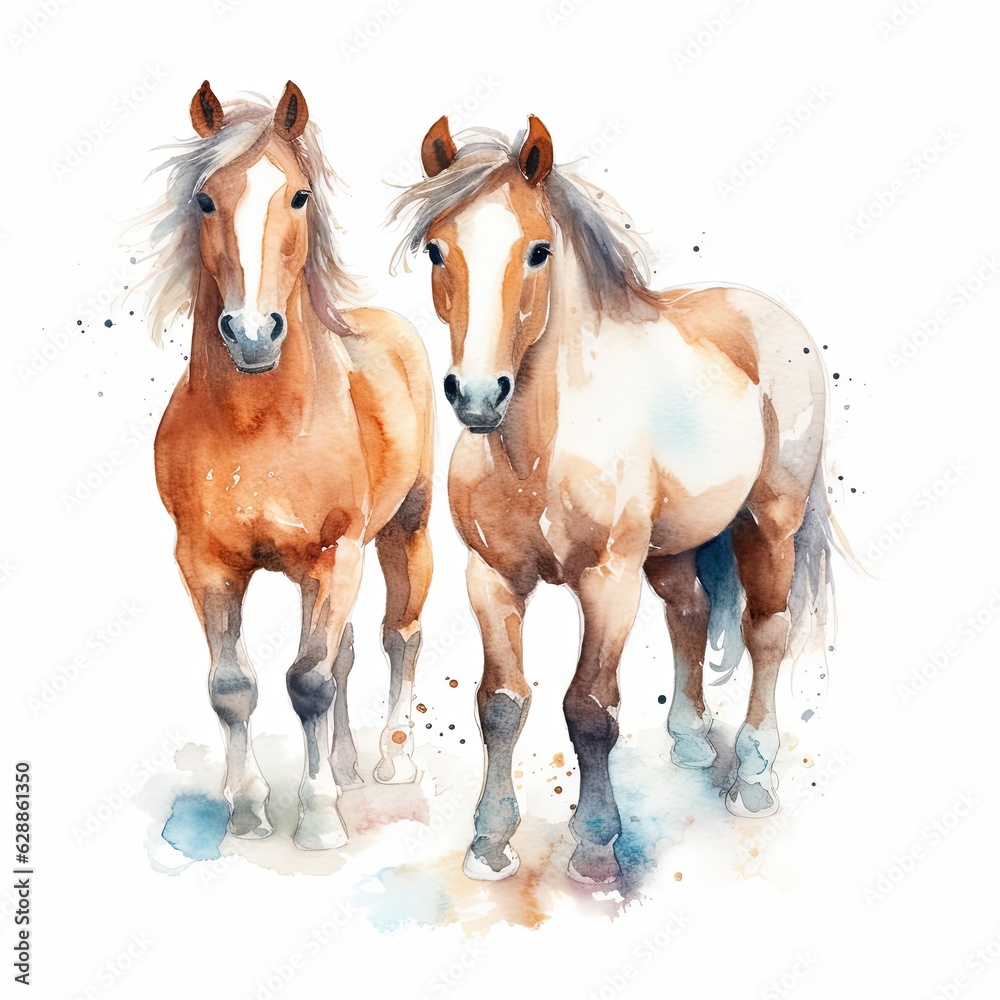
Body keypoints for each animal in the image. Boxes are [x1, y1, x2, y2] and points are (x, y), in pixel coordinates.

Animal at [146, 82, 434, 850]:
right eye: (205, 199)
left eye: (299, 195)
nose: (252, 335)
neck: (261, 425)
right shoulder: (205, 563)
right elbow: (233, 687)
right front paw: (247, 806)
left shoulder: (334, 556)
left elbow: (308, 682)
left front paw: (317, 817)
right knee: (350, 652)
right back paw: (348, 765)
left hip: (403, 534)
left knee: (399, 637)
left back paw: (392, 759)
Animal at [390, 115, 834, 885]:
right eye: (437, 249)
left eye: (538, 250)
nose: (477, 396)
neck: (538, 450)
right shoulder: (492, 577)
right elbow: (501, 703)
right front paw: (490, 843)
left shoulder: (608, 581)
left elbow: (590, 709)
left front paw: (595, 846)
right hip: (673, 547)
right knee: (692, 610)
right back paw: (690, 740)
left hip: (770, 523)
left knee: (767, 634)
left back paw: (752, 780)